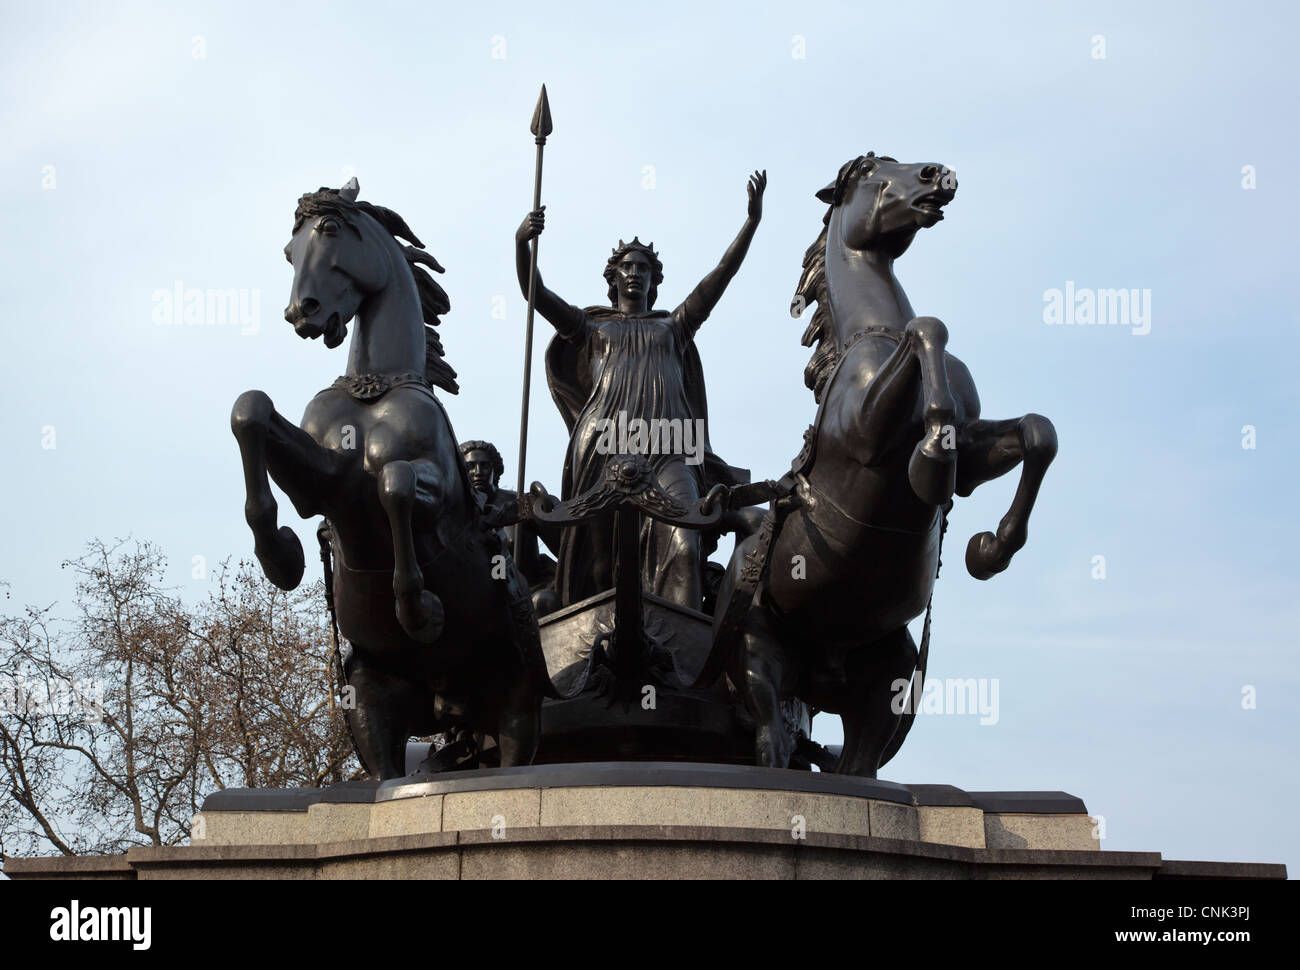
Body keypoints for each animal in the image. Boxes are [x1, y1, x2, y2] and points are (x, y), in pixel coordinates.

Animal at [231, 175, 551, 780]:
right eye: (289, 252)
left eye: (330, 230)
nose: (302, 313)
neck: (374, 387)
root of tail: (452, 704)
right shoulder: (324, 481)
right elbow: (251, 410)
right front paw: (281, 555)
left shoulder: (437, 493)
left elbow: (395, 483)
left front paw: (419, 610)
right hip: (372, 699)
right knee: (386, 768)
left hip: (518, 700)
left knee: (515, 753)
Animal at [702, 154, 1055, 774]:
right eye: (870, 171)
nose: (939, 174)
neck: (877, 333)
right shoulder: (868, 432)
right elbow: (929, 328)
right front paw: (931, 461)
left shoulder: (977, 450)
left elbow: (1037, 433)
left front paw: (990, 549)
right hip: (755, 654)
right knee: (771, 743)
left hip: (889, 680)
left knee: (859, 765)